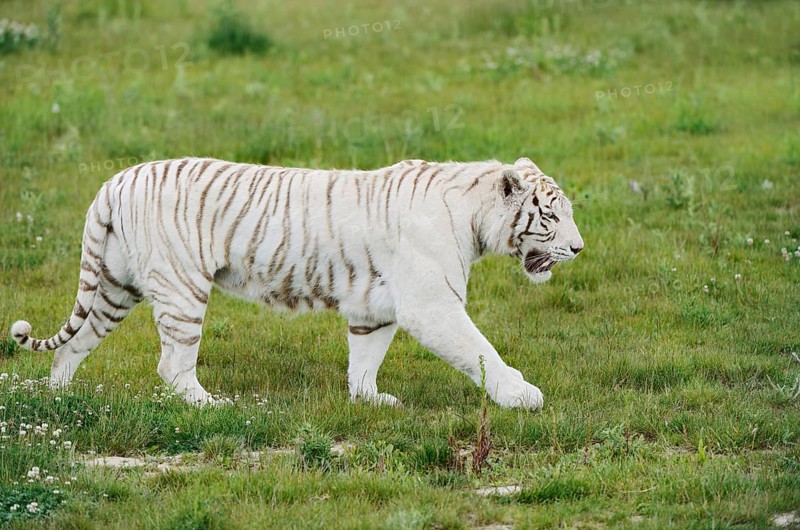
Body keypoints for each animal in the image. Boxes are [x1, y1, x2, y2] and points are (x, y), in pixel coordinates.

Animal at [11, 156, 584, 410]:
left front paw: (369, 400)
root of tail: (115, 180)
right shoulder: (432, 305)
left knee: (73, 346)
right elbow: (480, 350)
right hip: (181, 288)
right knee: (172, 365)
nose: (580, 249)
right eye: (553, 218)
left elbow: (365, 357)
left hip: (115, 286)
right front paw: (522, 395)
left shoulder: (374, 305)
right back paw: (210, 406)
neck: (474, 220)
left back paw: (56, 399)